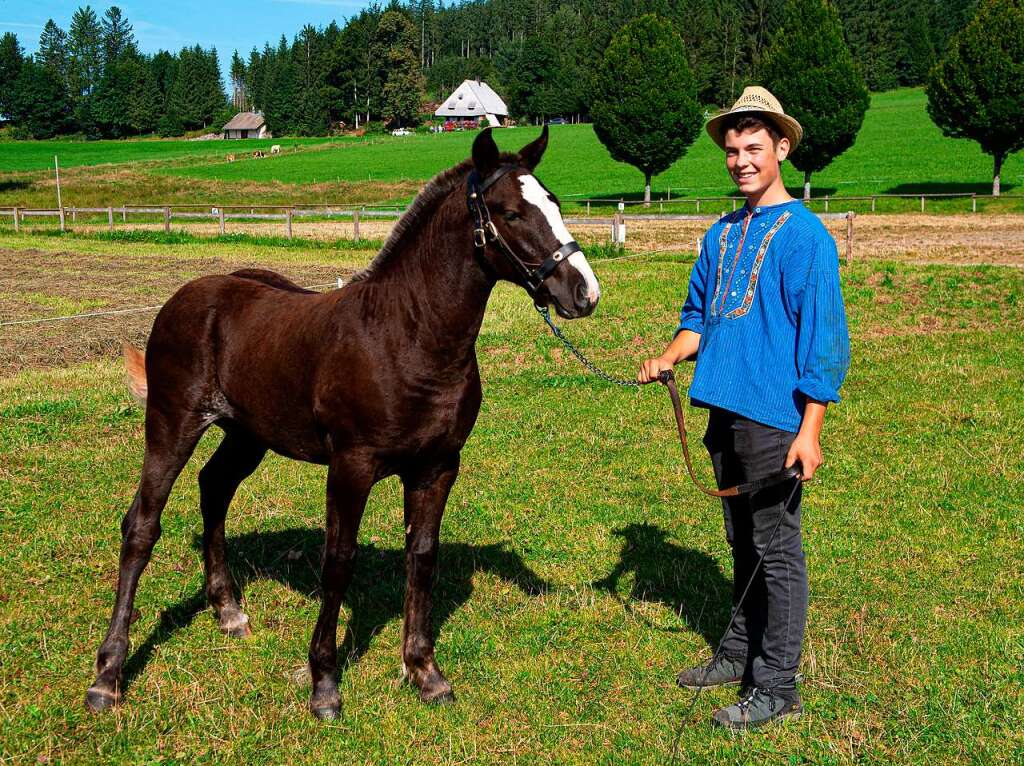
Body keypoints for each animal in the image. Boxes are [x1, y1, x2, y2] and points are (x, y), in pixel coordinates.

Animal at [88, 125, 602, 716]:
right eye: (512, 213)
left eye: (556, 203)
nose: (584, 292)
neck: (408, 335)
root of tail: (185, 297)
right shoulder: (351, 466)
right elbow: (338, 561)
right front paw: (324, 684)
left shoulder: (437, 467)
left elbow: (422, 558)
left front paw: (424, 672)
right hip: (172, 424)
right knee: (141, 526)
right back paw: (108, 675)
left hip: (247, 435)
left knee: (214, 489)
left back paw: (229, 611)